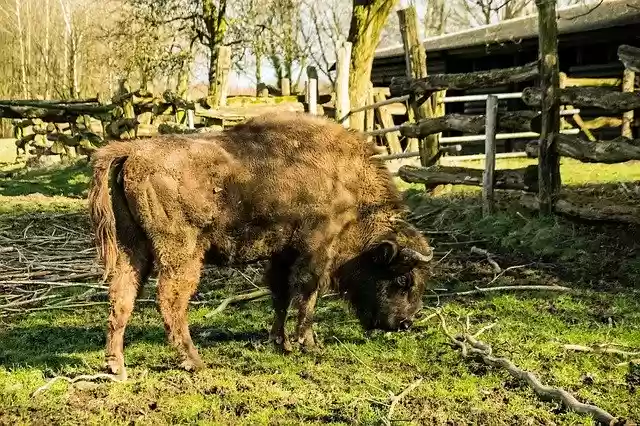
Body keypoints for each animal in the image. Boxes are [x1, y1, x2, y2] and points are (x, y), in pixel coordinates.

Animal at [88, 112, 433, 379]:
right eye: (403, 279)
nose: (404, 324)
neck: (345, 180)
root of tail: (132, 152)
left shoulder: (282, 255)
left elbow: (281, 296)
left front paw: (281, 342)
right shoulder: (316, 250)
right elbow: (307, 297)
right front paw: (308, 344)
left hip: (133, 249)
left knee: (122, 297)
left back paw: (115, 366)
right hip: (181, 253)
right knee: (170, 301)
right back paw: (194, 361)